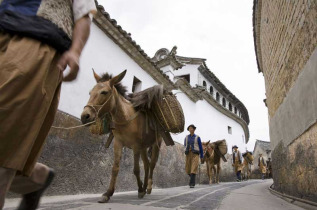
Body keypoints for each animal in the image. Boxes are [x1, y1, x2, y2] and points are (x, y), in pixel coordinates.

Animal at [79, 70, 173, 203]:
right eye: (90, 92)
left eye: (104, 92)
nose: (85, 116)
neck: (125, 119)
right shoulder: (118, 143)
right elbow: (115, 168)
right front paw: (108, 193)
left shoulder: (136, 146)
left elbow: (136, 169)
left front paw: (140, 189)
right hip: (143, 147)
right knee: (146, 164)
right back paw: (144, 187)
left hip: (155, 144)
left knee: (152, 164)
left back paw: (148, 187)